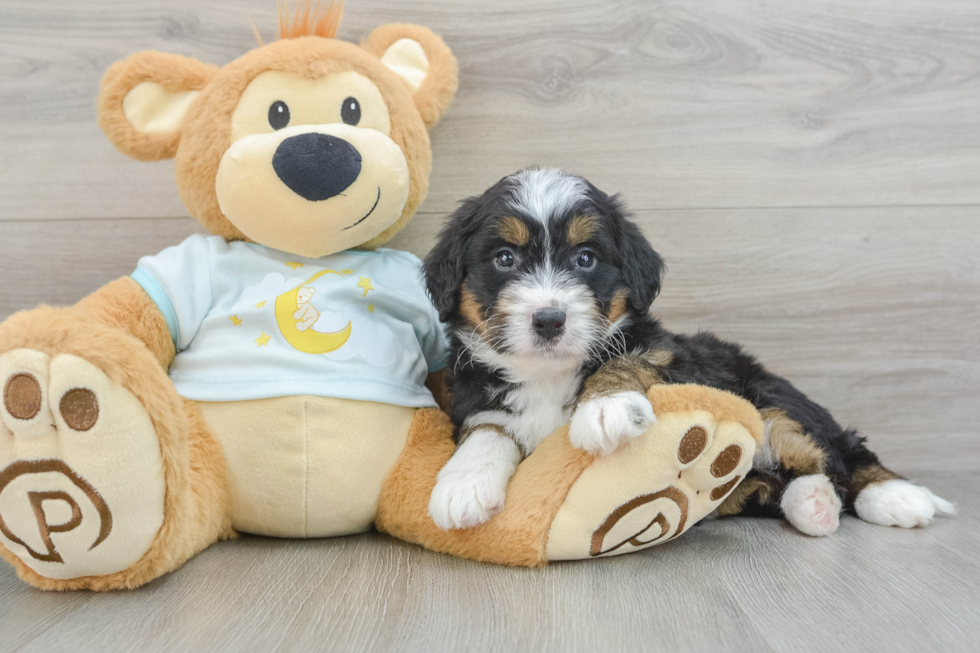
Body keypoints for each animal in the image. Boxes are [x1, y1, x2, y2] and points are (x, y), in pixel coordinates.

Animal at [420, 168, 948, 536]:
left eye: (585, 258)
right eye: (504, 258)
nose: (550, 319)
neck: (549, 374)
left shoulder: (674, 361)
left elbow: (626, 360)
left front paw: (605, 408)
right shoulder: (479, 394)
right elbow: (488, 429)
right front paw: (463, 485)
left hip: (769, 398)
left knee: (838, 450)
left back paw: (895, 496)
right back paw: (813, 505)